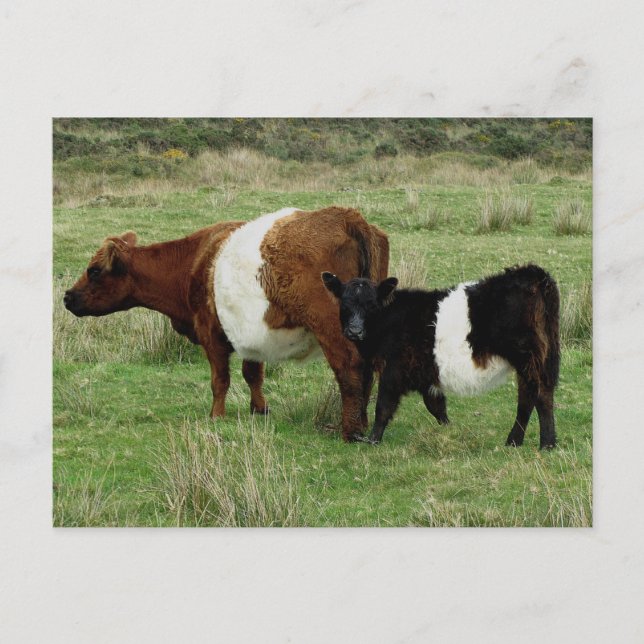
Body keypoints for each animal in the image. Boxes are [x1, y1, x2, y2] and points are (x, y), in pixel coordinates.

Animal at [64, 206, 389, 441]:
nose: (67, 297)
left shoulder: (211, 334)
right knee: (368, 370)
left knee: (350, 368)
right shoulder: (251, 335)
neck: (194, 264)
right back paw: (363, 423)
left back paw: (350, 430)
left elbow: (220, 380)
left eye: (94, 271)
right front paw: (259, 409)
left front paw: (216, 415)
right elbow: (253, 374)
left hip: (334, 330)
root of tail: (346, 216)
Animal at [322, 264, 560, 448]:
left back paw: (545, 443)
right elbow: (437, 408)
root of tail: (534, 274)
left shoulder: (392, 370)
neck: (389, 319)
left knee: (539, 395)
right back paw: (517, 441)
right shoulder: (426, 376)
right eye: (344, 304)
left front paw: (372, 440)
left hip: (529, 358)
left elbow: (383, 407)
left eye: (371, 305)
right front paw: (450, 431)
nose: (354, 331)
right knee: (529, 396)